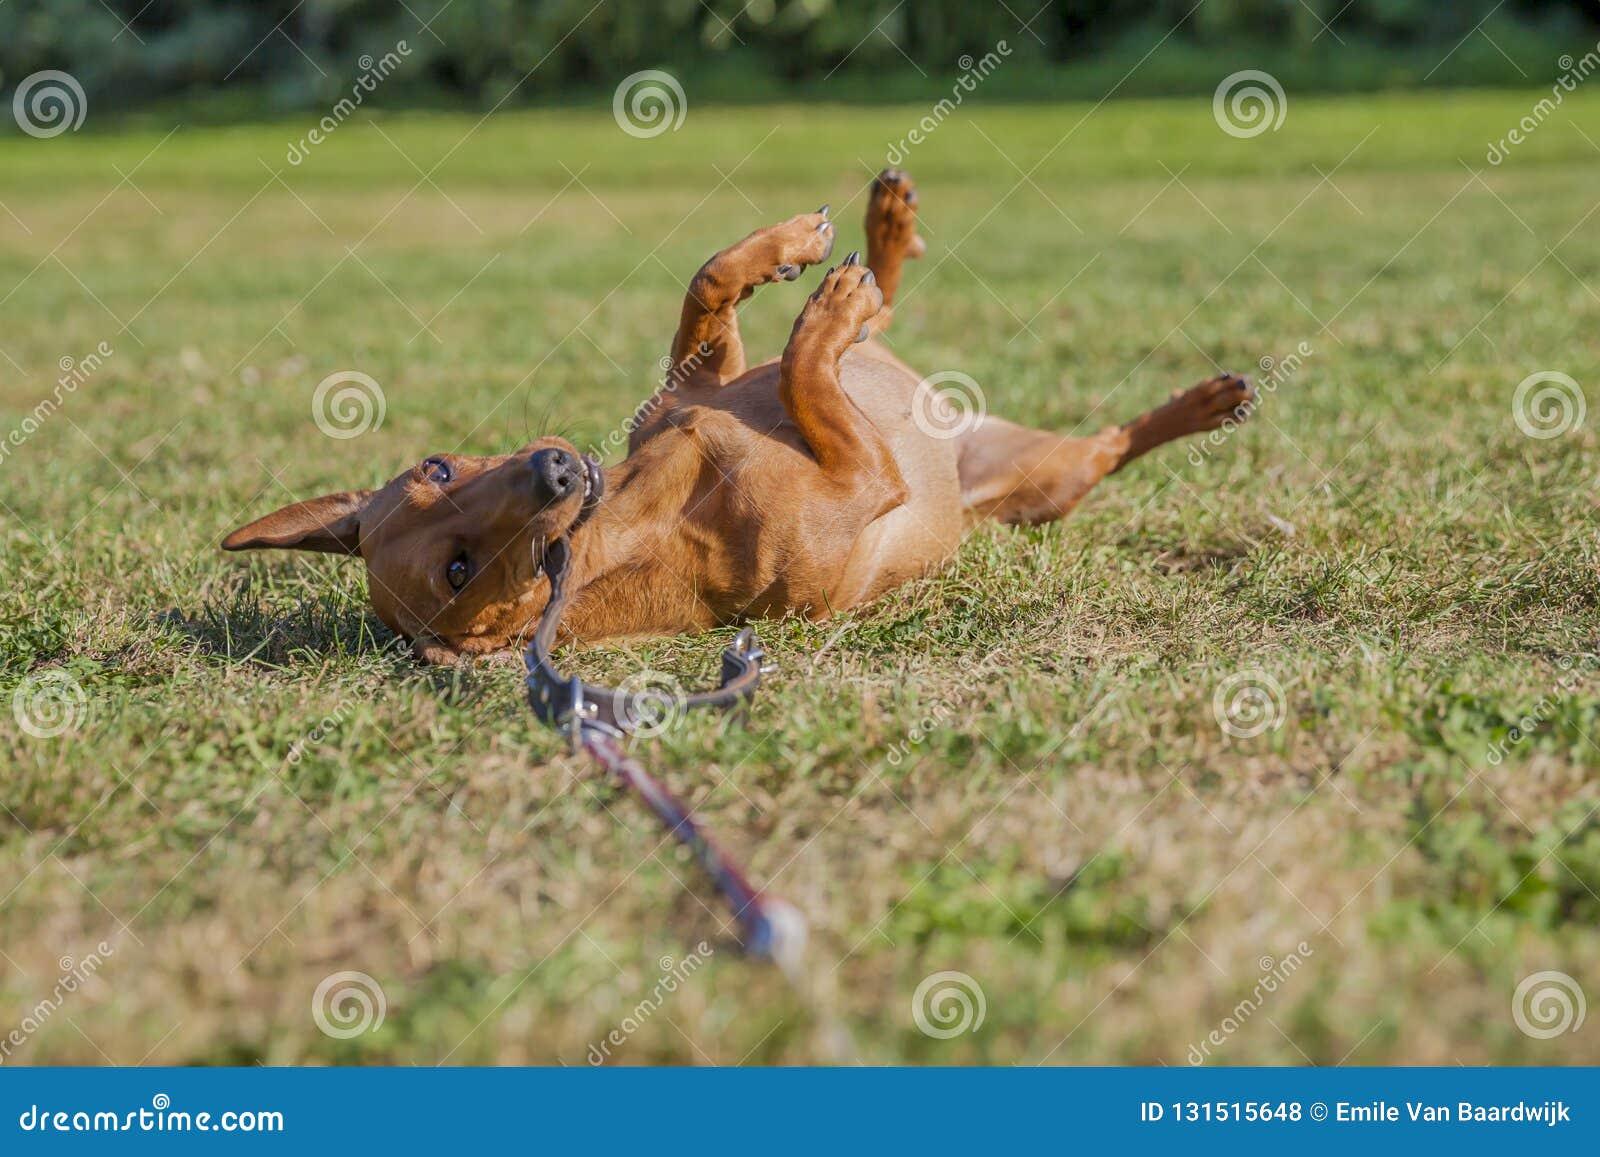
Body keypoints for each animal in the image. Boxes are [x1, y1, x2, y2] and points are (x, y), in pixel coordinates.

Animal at [224, 169, 1255, 664]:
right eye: (459, 569)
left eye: (437, 467)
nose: (555, 470)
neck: (641, 516)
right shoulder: (866, 473)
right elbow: (807, 371)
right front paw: (826, 310)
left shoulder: (700, 382)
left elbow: (710, 282)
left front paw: (796, 252)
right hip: (1048, 484)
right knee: (1108, 448)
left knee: (899, 316)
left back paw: (887, 231)